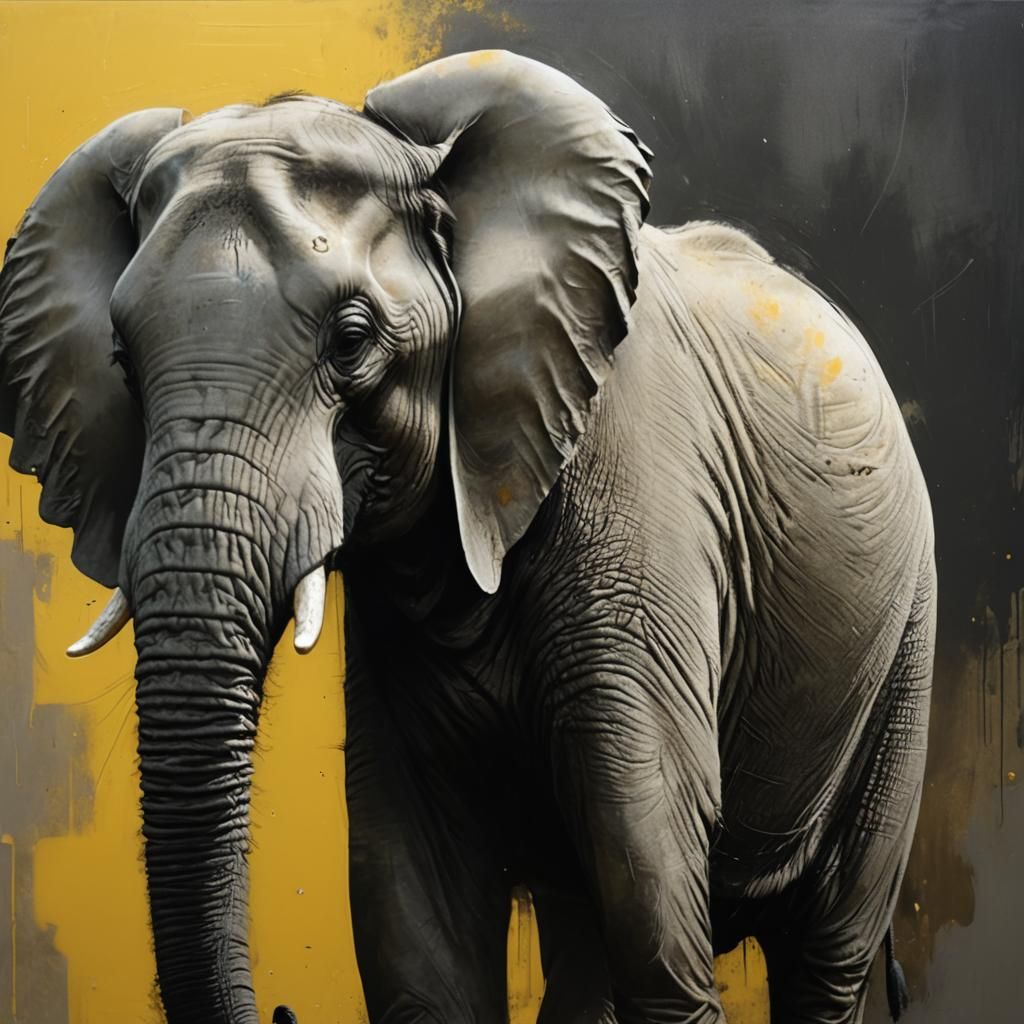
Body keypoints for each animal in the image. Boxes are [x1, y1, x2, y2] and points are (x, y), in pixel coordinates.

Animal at [0, 49, 935, 1024]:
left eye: (351, 341)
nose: (282, 1005)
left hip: (906, 639)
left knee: (824, 947)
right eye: (120, 360)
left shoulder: (646, 506)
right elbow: (418, 919)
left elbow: (650, 860)